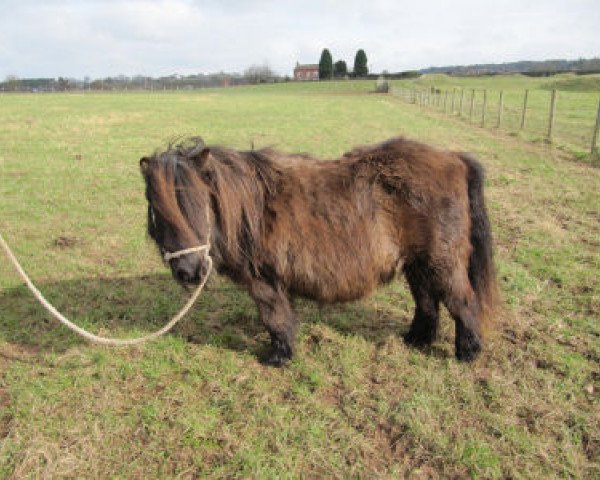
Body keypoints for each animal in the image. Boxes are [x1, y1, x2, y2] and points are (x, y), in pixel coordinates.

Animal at [141, 137, 496, 366]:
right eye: (157, 209)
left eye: (197, 201)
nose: (189, 271)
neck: (247, 210)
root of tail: (455, 159)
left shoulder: (263, 282)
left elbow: (275, 318)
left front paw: (278, 358)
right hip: (417, 264)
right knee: (426, 301)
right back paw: (416, 339)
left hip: (442, 263)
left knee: (462, 302)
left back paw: (467, 354)